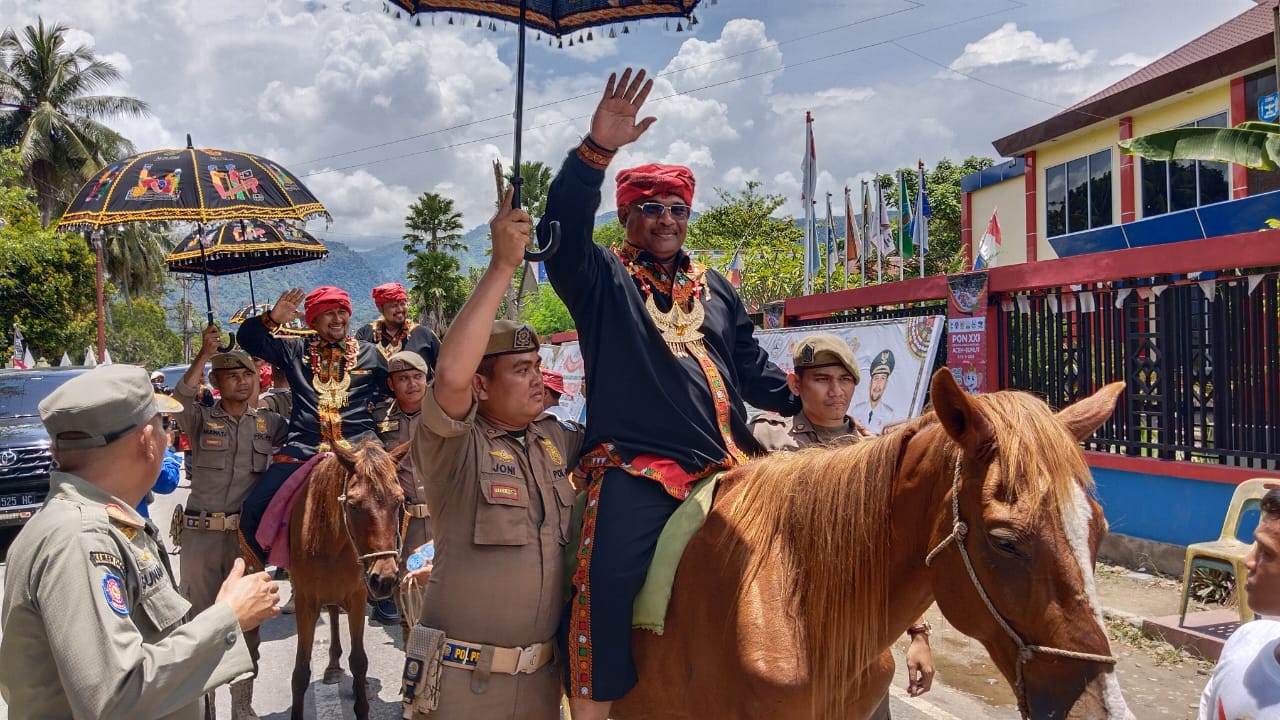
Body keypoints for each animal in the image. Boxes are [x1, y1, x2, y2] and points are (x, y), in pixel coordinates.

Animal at [289, 435, 404, 717]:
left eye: (398, 501)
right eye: (353, 505)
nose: (385, 579)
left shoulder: (357, 595)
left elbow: (359, 660)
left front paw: (361, 704)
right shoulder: (305, 601)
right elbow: (301, 670)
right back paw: (332, 666)